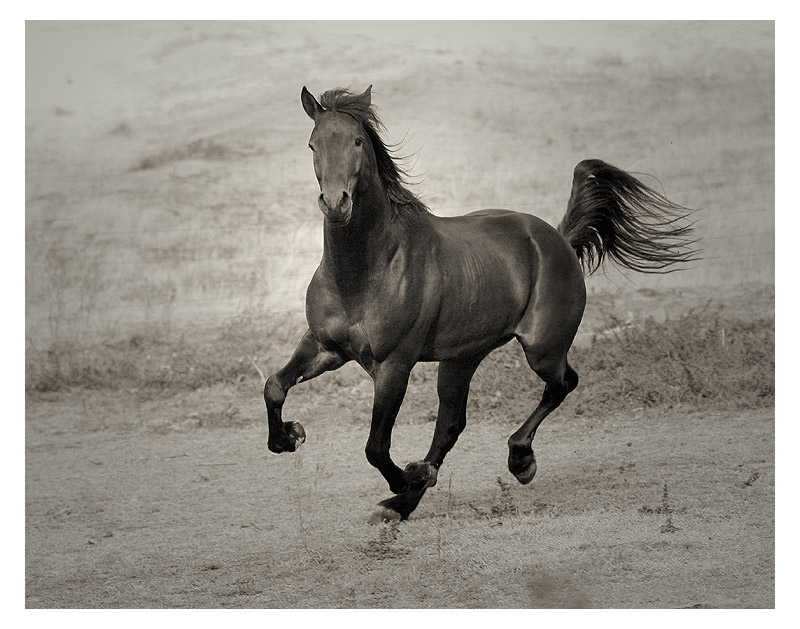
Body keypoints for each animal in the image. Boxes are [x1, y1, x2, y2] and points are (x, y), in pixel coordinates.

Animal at [262, 84, 692, 524]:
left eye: (357, 141)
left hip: (541, 347)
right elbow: (274, 386)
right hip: (461, 358)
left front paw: (405, 477)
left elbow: (375, 447)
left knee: (562, 384)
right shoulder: (325, 347)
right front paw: (290, 436)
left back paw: (515, 462)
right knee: (452, 424)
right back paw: (405, 499)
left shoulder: (393, 365)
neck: (363, 272)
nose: (336, 204)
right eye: (312, 144)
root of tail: (557, 238)